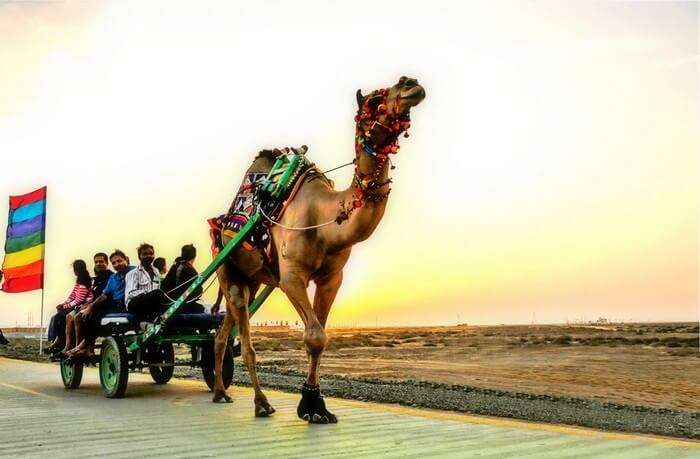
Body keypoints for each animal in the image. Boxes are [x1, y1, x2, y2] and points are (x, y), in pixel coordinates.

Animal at [211, 76, 424, 424]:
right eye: (374, 100)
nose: (411, 84)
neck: (324, 218)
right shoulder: (290, 277)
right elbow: (313, 335)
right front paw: (310, 405)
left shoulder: (331, 277)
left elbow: (322, 338)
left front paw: (315, 404)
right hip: (227, 269)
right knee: (244, 339)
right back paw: (261, 403)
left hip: (251, 279)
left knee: (221, 333)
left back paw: (219, 392)